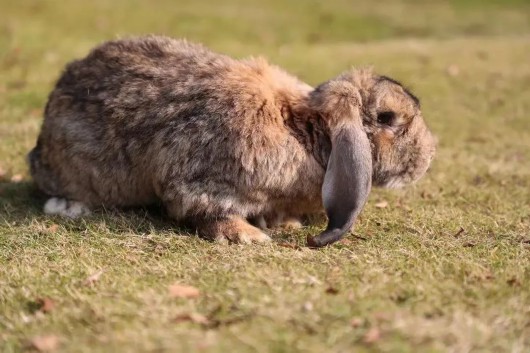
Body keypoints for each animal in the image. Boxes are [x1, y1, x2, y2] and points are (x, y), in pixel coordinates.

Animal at [26, 35, 436, 245]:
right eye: (388, 118)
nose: (430, 154)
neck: (302, 127)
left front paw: (283, 224)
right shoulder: (199, 183)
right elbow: (209, 213)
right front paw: (251, 238)